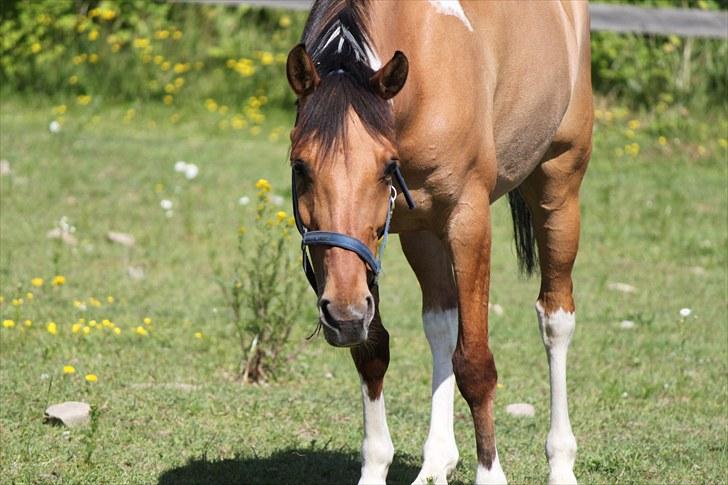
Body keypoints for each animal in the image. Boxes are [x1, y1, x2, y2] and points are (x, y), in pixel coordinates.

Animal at [284, 1, 592, 482]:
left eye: (385, 168)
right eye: (300, 166)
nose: (344, 315)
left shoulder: (469, 221)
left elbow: (476, 364)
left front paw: (490, 474)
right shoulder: (375, 246)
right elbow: (373, 351)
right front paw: (376, 466)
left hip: (559, 191)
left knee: (555, 320)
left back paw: (561, 463)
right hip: (422, 234)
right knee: (441, 323)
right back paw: (435, 463)